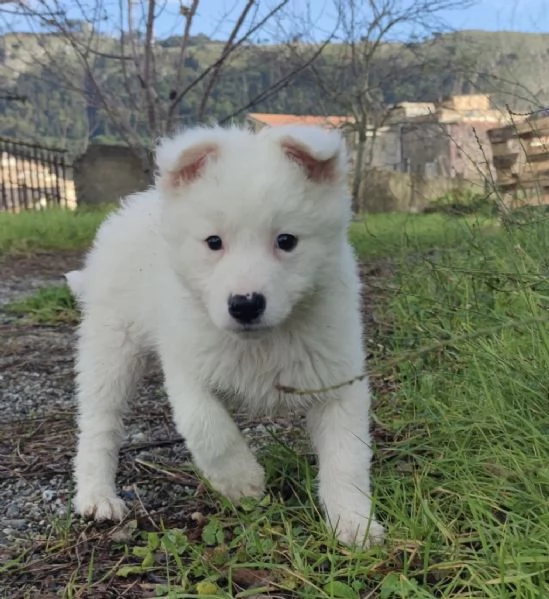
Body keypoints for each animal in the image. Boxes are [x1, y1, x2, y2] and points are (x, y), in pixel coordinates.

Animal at [68, 124, 384, 548]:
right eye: (214, 242)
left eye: (287, 241)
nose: (245, 304)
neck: (262, 343)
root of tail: (132, 207)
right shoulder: (187, 364)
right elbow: (207, 428)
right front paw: (243, 481)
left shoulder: (338, 378)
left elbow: (346, 457)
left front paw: (354, 522)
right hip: (111, 345)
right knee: (99, 422)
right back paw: (97, 495)